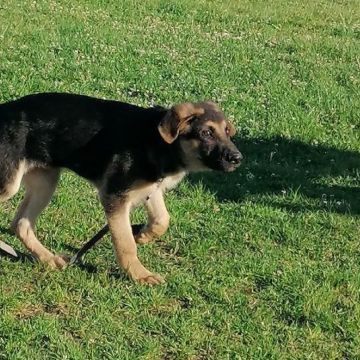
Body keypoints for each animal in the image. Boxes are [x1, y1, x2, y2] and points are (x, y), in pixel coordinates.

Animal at [0, 93, 243, 284]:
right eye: (206, 133)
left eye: (227, 132)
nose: (238, 158)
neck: (155, 142)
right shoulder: (114, 196)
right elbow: (125, 243)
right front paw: (140, 275)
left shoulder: (150, 188)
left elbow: (162, 219)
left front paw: (144, 235)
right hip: (9, 184)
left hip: (46, 181)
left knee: (21, 224)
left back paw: (49, 259)